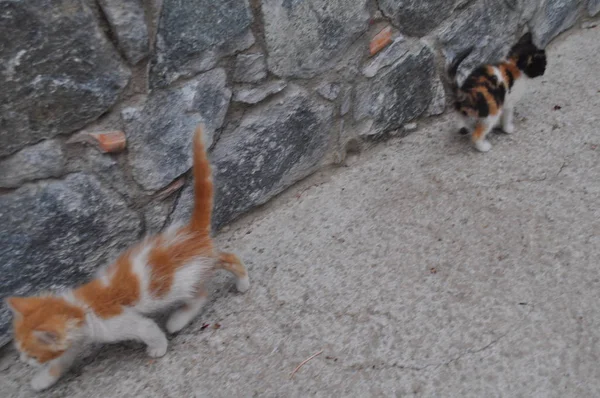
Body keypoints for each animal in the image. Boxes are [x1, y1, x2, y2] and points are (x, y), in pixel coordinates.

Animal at [5, 126, 248, 390]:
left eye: (31, 354)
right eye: (20, 350)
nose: (22, 360)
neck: (79, 308)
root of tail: (192, 232)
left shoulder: (120, 322)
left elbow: (149, 329)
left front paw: (158, 349)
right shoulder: (76, 338)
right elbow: (61, 361)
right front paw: (42, 380)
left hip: (182, 279)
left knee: (211, 281)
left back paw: (195, 310)